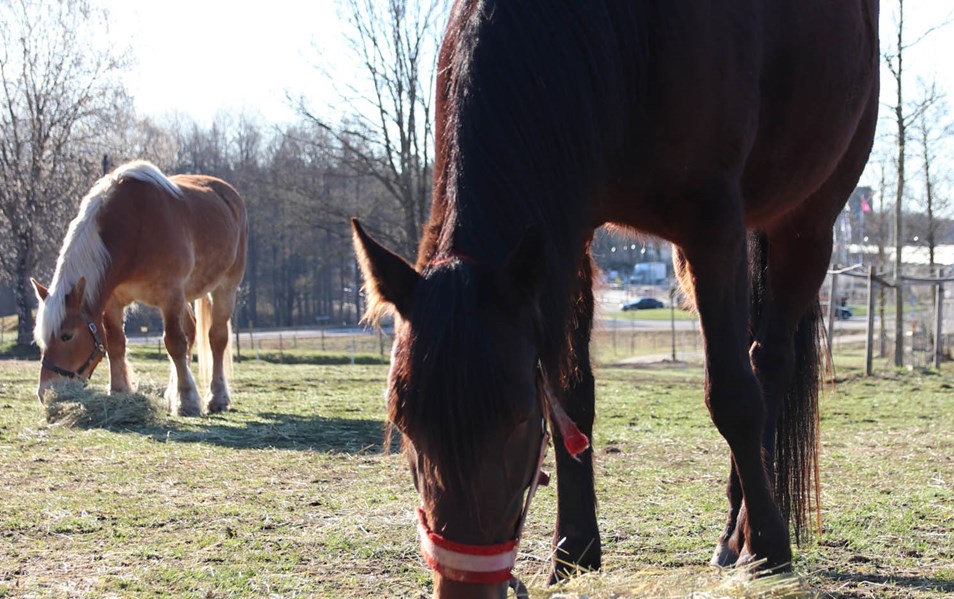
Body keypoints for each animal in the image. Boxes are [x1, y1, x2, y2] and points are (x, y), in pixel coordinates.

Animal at [34, 162, 245, 420]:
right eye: (41, 339)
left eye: (66, 335)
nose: (46, 392)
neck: (135, 227)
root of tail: (229, 194)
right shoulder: (112, 302)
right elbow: (116, 343)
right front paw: (119, 390)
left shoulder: (170, 295)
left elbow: (174, 343)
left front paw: (187, 401)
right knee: (192, 331)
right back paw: (172, 394)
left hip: (225, 287)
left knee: (216, 338)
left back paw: (217, 397)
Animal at [352, 2, 876, 596]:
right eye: (404, 422)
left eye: (516, 418)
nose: (466, 586)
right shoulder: (569, 227)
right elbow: (571, 393)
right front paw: (574, 551)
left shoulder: (712, 223)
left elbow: (733, 398)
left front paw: (769, 547)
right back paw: (730, 532)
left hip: (806, 224)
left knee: (767, 365)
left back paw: (751, 535)